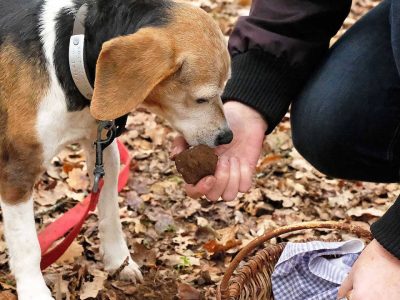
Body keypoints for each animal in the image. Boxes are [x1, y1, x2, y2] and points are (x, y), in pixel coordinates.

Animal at [0, 0, 231, 298]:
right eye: (202, 98)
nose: (228, 136)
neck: (68, 54)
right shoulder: (18, 172)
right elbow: (28, 245)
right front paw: (34, 291)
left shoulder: (103, 150)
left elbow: (110, 213)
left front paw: (118, 261)